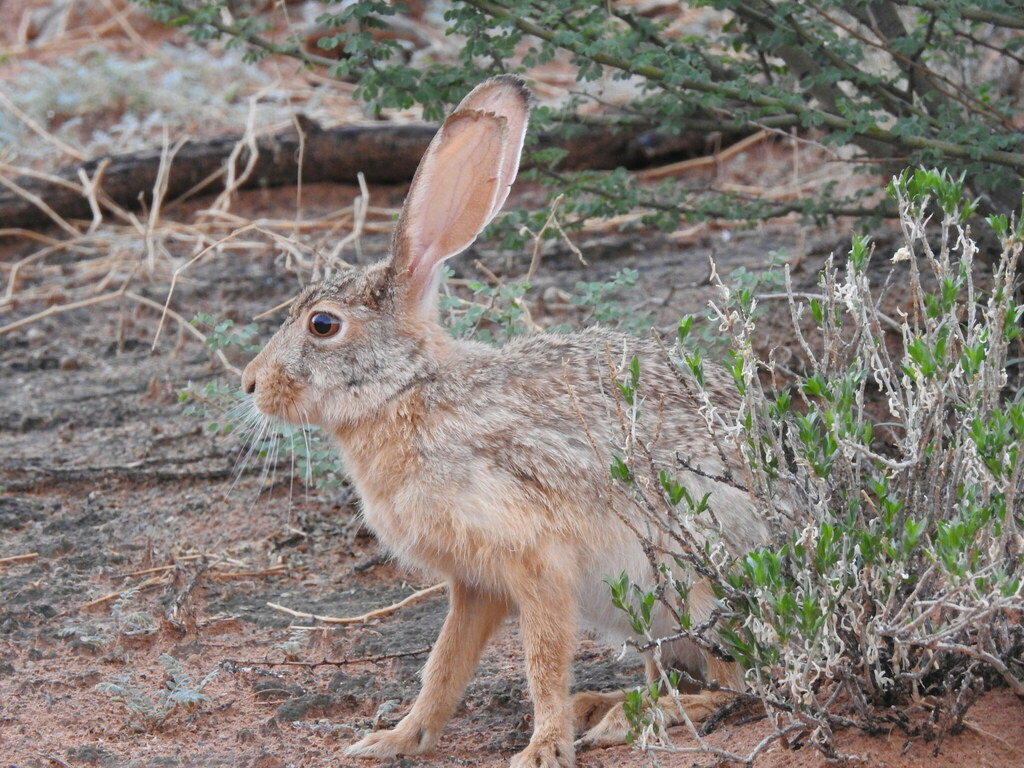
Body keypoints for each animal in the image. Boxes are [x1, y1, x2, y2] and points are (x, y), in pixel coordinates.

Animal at [242, 75, 769, 767]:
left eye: (322, 325)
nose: (251, 384)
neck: (407, 391)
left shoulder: (534, 557)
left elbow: (542, 661)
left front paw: (543, 749)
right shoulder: (475, 582)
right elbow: (442, 666)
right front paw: (394, 739)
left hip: (694, 585)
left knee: (737, 683)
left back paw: (629, 720)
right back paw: (604, 705)